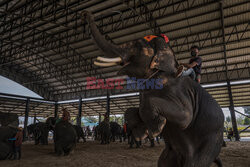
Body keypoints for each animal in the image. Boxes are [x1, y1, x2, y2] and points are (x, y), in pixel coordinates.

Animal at [83, 11, 225, 166]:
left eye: (137, 44)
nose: (87, 13)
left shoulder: (181, 93)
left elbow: (185, 118)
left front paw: (156, 129)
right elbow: (132, 110)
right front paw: (142, 133)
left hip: (210, 143)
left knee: (195, 162)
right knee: (163, 161)